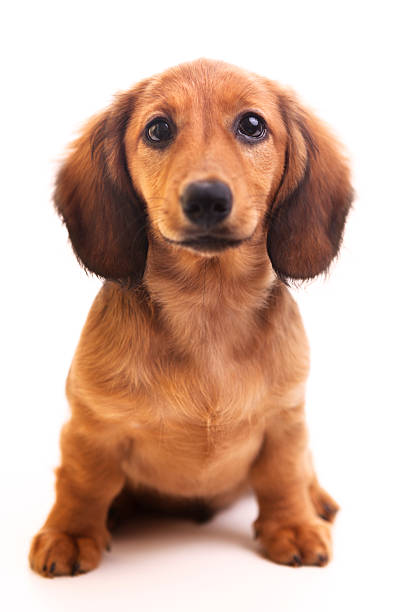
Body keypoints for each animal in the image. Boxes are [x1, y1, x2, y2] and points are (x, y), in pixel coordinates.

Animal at [30, 59, 352, 576]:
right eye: (158, 129)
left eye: (252, 124)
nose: (206, 198)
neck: (208, 309)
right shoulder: (90, 426)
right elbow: (81, 482)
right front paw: (70, 533)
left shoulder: (285, 420)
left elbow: (284, 474)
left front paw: (293, 525)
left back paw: (316, 498)